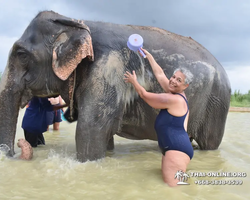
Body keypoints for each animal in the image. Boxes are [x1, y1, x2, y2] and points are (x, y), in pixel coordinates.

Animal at [0, 10, 230, 162]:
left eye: (21, 55)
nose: (19, 147)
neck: (76, 22)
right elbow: (102, 135)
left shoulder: (108, 68)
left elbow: (88, 131)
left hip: (217, 104)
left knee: (209, 144)